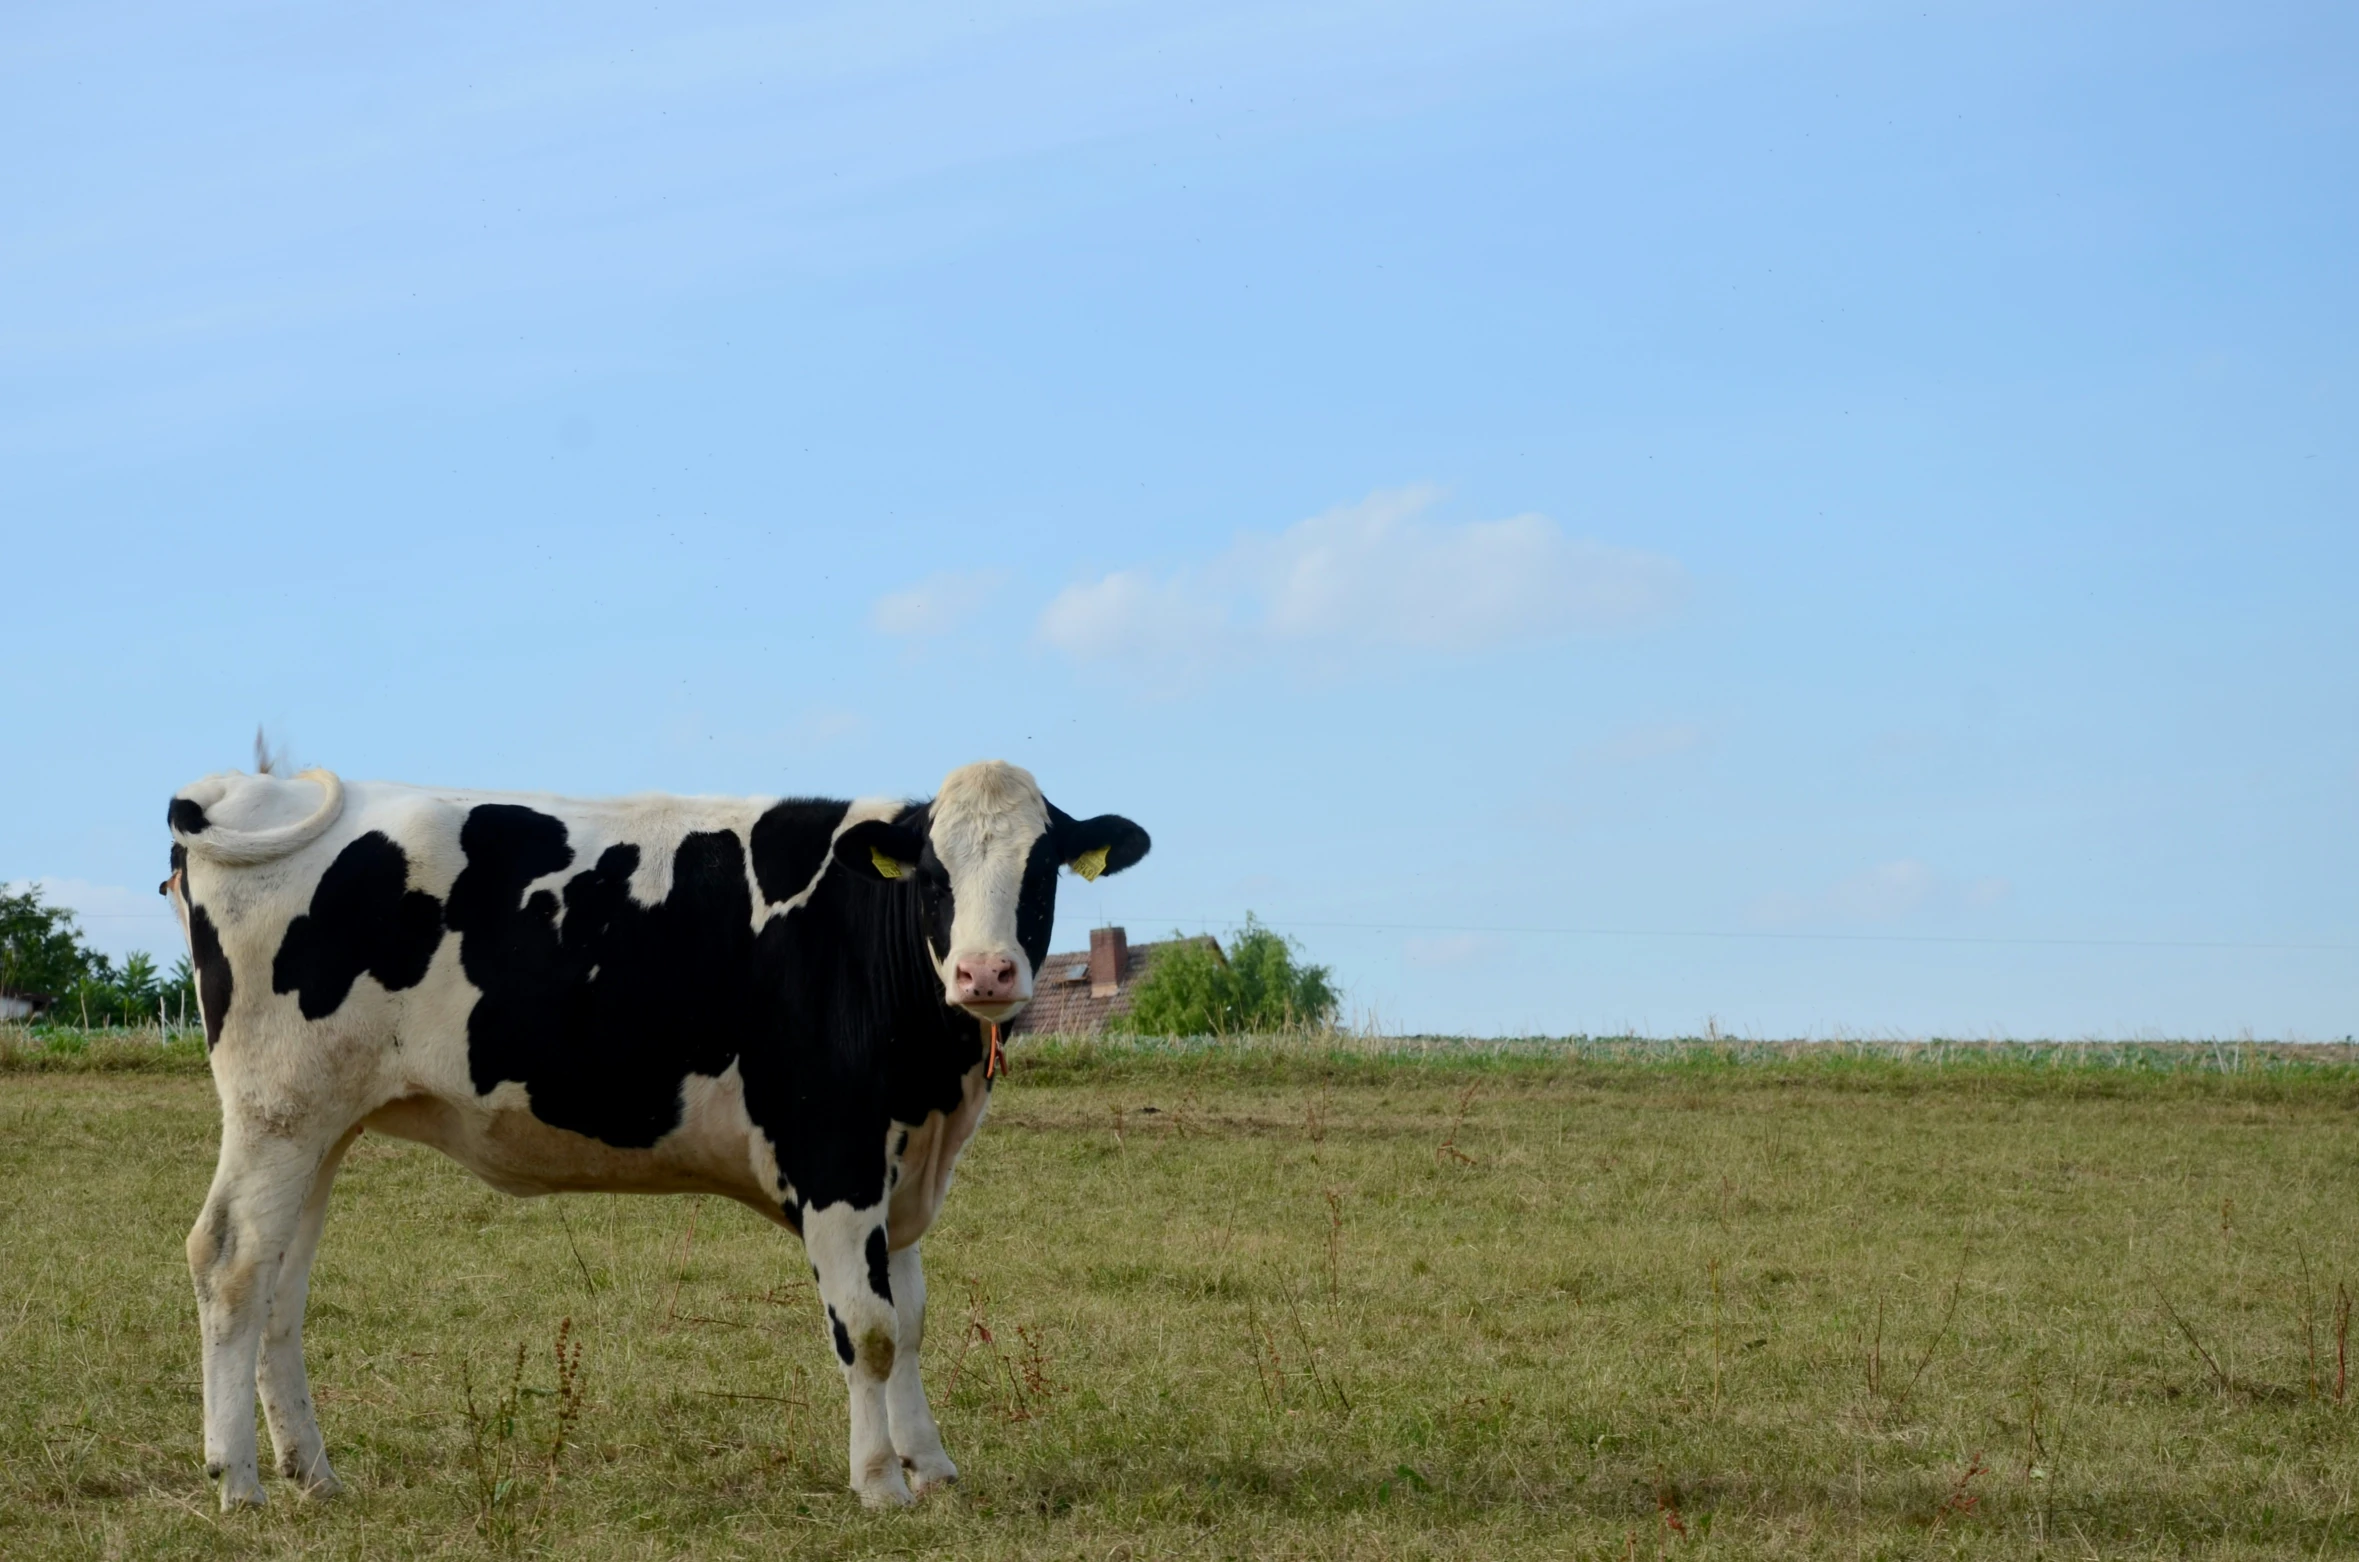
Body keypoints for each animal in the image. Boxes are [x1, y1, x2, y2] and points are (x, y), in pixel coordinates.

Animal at [159, 759, 1151, 1519]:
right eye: (936, 876)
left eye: (1040, 871)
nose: (986, 973)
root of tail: (246, 789)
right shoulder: (834, 1156)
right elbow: (867, 1330)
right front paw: (879, 1485)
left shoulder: (898, 1171)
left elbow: (908, 1323)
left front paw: (932, 1467)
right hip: (277, 1110)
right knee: (229, 1261)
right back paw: (238, 1483)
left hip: (321, 1124)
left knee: (280, 1286)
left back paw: (313, 1475)